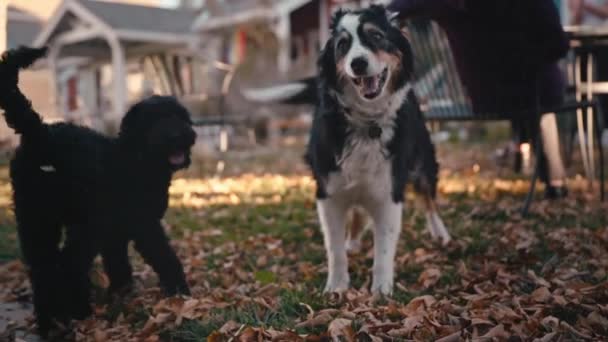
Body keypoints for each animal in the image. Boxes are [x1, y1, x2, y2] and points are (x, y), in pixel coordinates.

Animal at [0, 46, 195, 336]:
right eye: (154, 121)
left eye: (179, 115)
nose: (177, 136)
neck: (134, 157)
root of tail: (40, 135)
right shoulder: (143, 225)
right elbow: (164, 256)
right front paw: (179, 292)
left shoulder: (115, 233)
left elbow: (118, 263)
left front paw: (122, 293)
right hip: (83, 224)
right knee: (68, 264)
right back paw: (77, 311)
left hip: (37, 220)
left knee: (43, 269)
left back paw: (51, 322)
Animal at [245, 4, 448, 294]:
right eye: (342, 45)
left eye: (376, 36)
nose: (357, 63)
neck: (367, 122)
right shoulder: (328, 193)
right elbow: (335, 248)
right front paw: (337, 286)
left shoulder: (389, 191)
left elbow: (384, 249)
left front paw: (381, 290)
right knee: (359, 213)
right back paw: (353, 242)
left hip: (422, 160)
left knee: (428, 197)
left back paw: (440, 232)